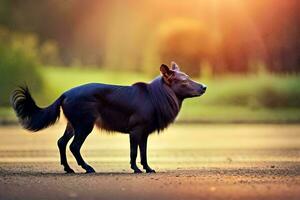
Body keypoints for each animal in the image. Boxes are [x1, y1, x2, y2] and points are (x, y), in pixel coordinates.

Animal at [10, 62, 205, 173]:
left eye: (188, 77)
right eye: (184, 81)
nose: (204, 87)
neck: (155, 97)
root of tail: (64, 94)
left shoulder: (144, 133)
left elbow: (143, 153)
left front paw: (148, 168)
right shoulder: (136, 130)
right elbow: (134, 153)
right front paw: (136, 169)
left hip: (72, 125)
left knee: (61, 142)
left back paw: (68, 168)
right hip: (85, 124)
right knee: (74, 146)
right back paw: (87, 168)